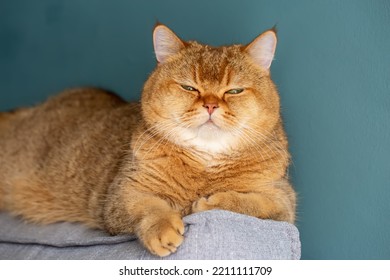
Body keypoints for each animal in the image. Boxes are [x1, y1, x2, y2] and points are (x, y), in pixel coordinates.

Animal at [0, 25, 298, 258]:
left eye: (234, 91)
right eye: (189, 87)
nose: (211, 105)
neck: (206, 160)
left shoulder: (283, 200)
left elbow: (250, 205)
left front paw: (210, 202)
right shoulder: (123, 192)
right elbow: (149, 206)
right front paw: (162, 228)